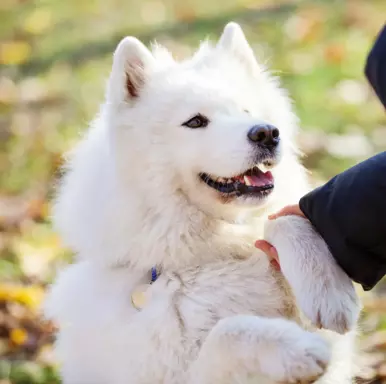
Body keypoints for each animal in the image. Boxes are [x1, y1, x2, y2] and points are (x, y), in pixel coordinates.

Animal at [45, 22, 362, 382]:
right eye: (195, 122)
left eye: (246, 111)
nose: (267, 133)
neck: (208, 257)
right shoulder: (174, 372)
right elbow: (228, 331)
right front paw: (296, 347)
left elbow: (282, 220)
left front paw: (328, 291)